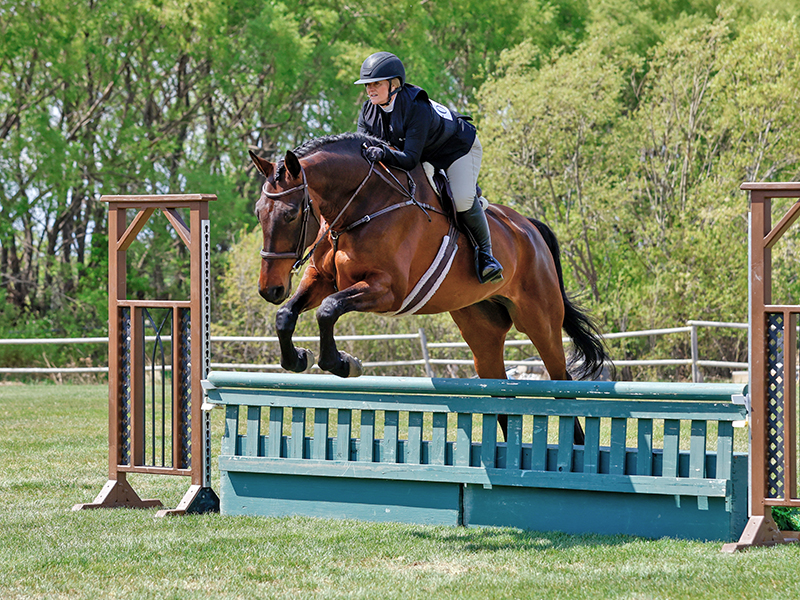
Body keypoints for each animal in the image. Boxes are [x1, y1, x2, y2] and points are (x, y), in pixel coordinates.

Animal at [250, 132, 609, 441]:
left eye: (291, 214)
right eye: (258, 212)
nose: (270, 289)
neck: (361, 207)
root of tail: (529, 228)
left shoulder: (386, 290)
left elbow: (328, 310)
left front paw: (343, 363)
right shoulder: (321, 280)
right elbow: (286, 315)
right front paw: (298, 358)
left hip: (539, 320)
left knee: (561, 383)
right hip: (481, 327)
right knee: (499, 389)